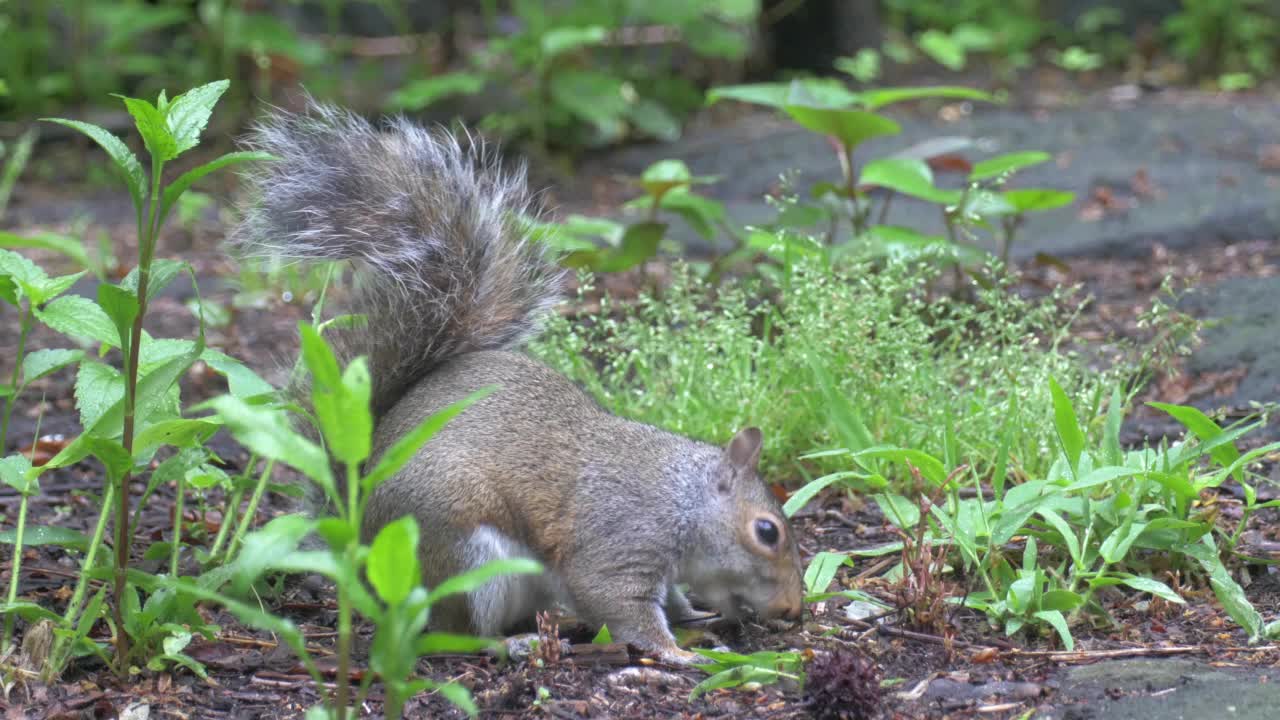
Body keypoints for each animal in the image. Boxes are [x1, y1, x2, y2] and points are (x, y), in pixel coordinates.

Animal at [230, 99, 798, 661]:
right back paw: (513, 643)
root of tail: (366, 552)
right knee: (453, 633)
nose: (793, 609)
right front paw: (679, 653)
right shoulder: (619, 539)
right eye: (766, 532)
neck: (682, 499)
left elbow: (673, 598)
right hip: (465, 556)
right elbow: (618, 604)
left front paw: (695, 617)